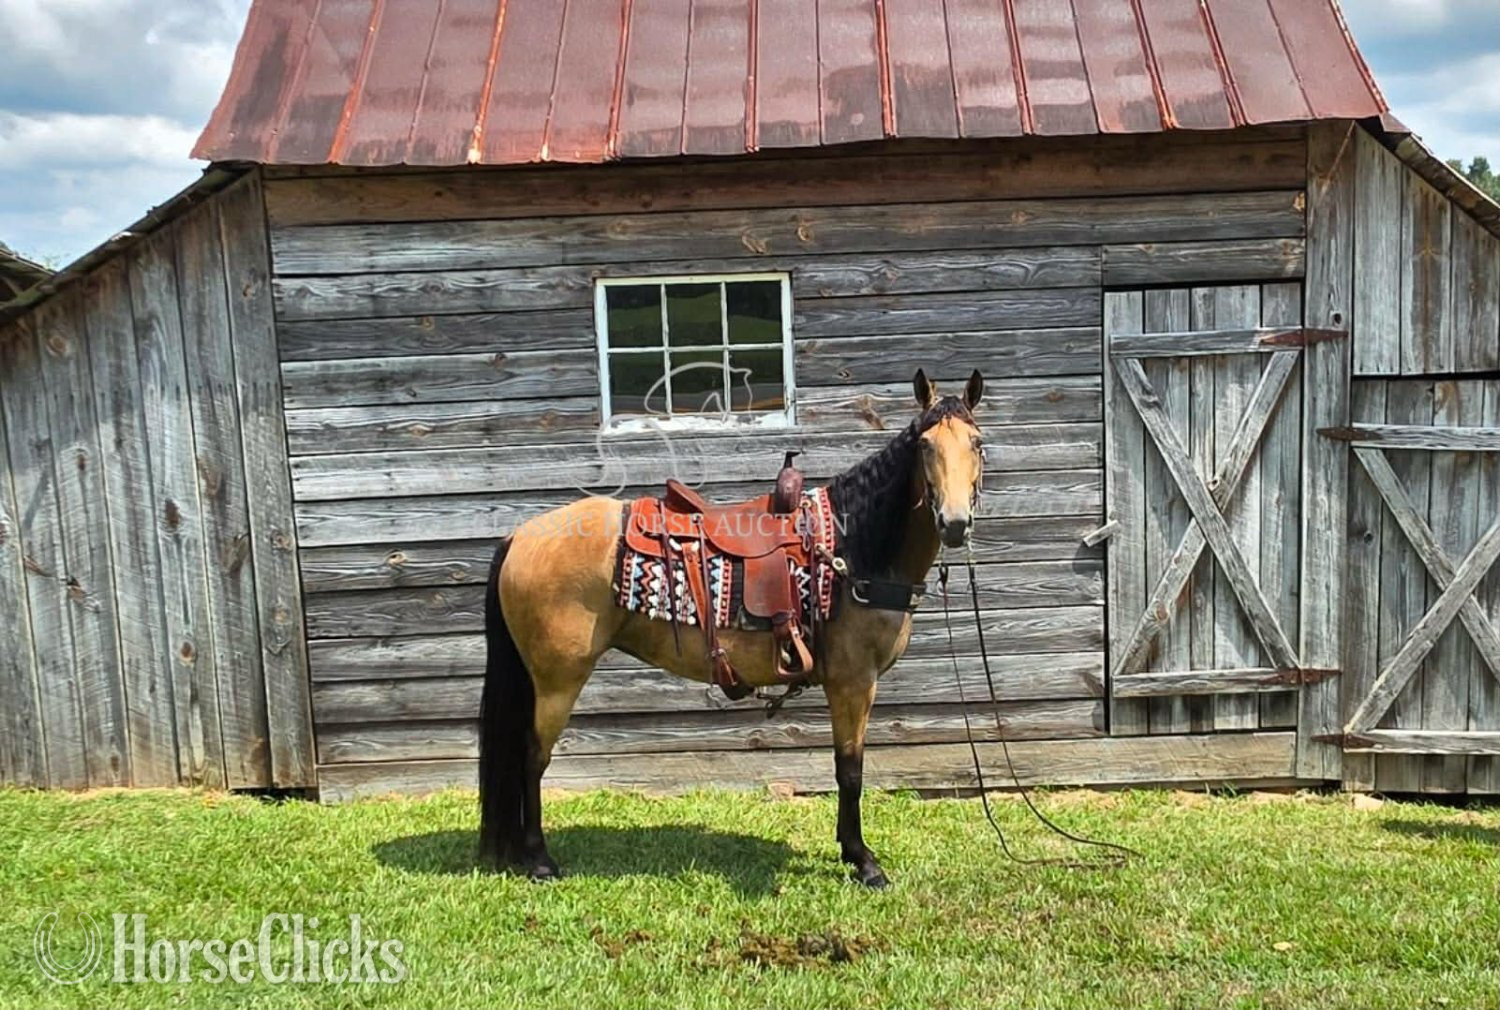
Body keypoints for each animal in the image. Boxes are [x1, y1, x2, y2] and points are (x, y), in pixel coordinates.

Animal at [478, 368, 986, 887]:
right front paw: (863, 860)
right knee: (532, 757)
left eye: (977, 443)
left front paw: (850, 851)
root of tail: (519, 536)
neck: (852, 548)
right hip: (557, 679)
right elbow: (850, 770)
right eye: (925, 445)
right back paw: (539, 858)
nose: (954, 523)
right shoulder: (853, 682)